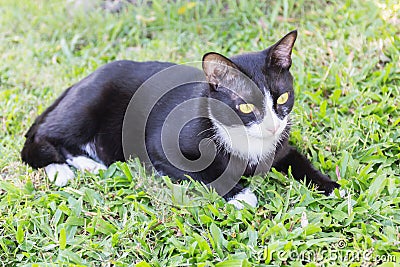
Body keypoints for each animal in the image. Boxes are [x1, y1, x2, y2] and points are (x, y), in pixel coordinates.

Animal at [20, 30, 340, 209]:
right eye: (246, 107)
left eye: (283, 99)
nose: (273, 126)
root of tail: (81, 80)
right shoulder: (160, 149)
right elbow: (204, 174)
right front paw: (240, 195)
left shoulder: (280, 148)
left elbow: (299, 162)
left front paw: (332, 187)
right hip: (89, 103)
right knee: (38, 137)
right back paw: (62, 169)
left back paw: (89, 163)